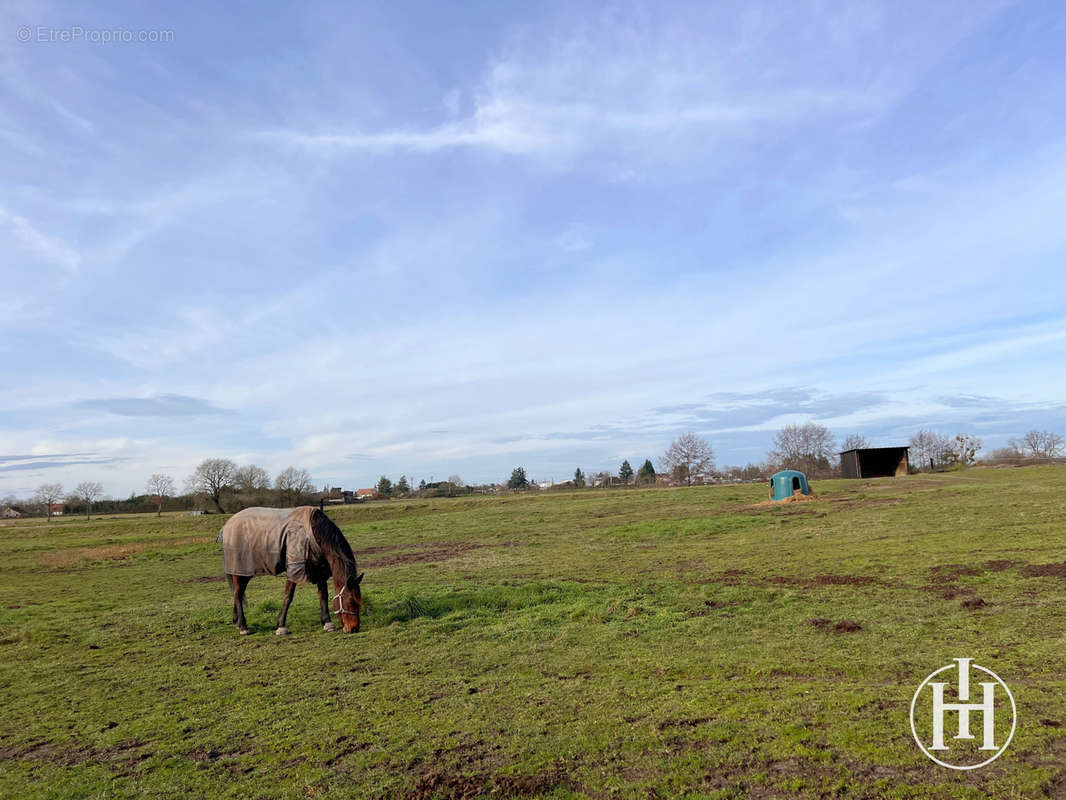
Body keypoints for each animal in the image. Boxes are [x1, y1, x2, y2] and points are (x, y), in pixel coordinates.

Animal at [218, 507, 364, 640]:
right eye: (351, 601)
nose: (354, 628)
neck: (313, 533)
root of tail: (227, 525)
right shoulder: (294, 569)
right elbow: (288, 596)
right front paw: (281, 626)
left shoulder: (319, 569)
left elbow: (323, 595)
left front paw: (327, 623)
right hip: (240, 571)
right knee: (238, 594)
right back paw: (243, 627)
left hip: (245, 572)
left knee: (238, 593)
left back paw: (237, 621)